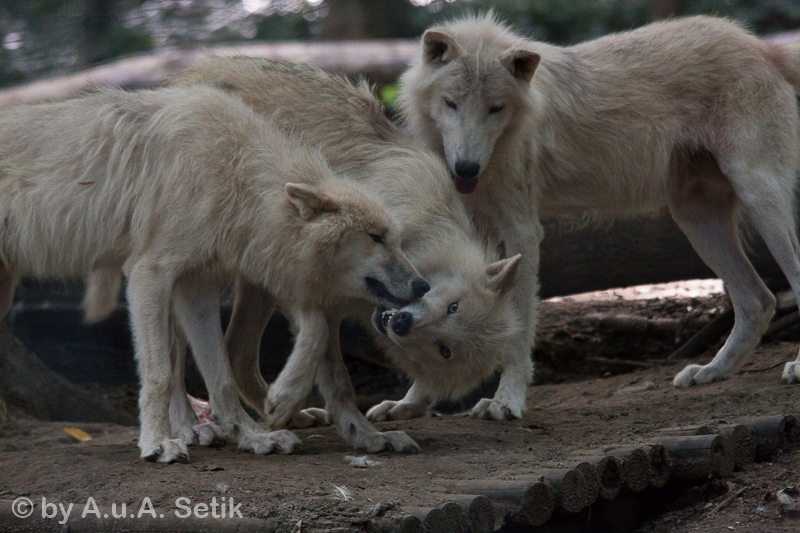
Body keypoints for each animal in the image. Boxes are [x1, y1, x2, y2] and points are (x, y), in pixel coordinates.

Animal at [0, 85, 428, 460]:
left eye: (396, 239)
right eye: (376, 237)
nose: (422, 285)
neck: (234, 175)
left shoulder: (197, 286)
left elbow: (220, 374)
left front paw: (256, 436)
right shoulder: (149, 274)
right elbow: (158, 374)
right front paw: (157, 444)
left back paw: (200, 429)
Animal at [163, 58, 524, 430]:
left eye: (446, 350)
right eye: (453, 305)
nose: (402, 324)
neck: (424, 236)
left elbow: (332, 366)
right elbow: (324, 347)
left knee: (236, 352)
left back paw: (287, 415)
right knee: (175, 359)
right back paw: (186, 427)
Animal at [400, 11, 800, 412]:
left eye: (494, 108)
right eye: (451, 103)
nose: (467, 169)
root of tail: (762, 46)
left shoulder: (522, 232)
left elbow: (518, 328)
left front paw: (506, 401)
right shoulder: (473, 233)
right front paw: (411, 402)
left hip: (760, 200)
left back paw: (794, 367)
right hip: (696, 221)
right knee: (759, 301)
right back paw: (712, 371)